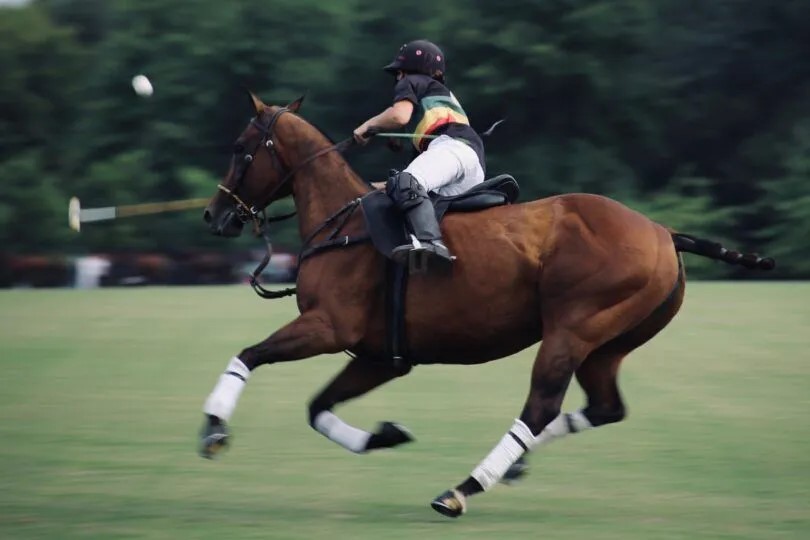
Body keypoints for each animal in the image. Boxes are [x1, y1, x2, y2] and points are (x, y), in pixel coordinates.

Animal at [199, 92, 774, 518]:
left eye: (240, 147)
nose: (214, 215)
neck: (342, 223)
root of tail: (663, 232)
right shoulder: (380, 356)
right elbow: (318, 407)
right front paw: (386, 435)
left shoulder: (328, 327)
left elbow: (248, 355)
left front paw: (213, 430)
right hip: (609, 343)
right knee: (605, 407)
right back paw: (512, 467)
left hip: (572, 329)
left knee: (541, 407)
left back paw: (462, 488)